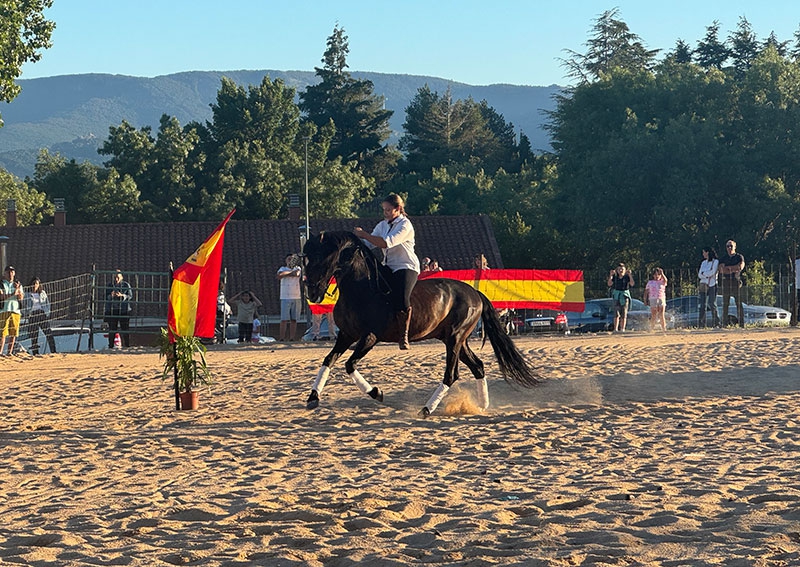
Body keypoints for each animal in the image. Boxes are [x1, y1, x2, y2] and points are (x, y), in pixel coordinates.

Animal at [304, 231, 540, 418]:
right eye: (306, 258)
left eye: (322, 257)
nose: (312, 293)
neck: (362, 288)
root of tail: (475, 293)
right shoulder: (346, 335)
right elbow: (329, 360)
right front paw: (313, 398)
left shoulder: (369, 337)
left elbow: (349, 365)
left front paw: (376, 393)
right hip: (457, 340)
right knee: (478, 366)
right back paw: (481, 405)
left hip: (454, 339)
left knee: (451, 375)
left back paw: (427, 409)